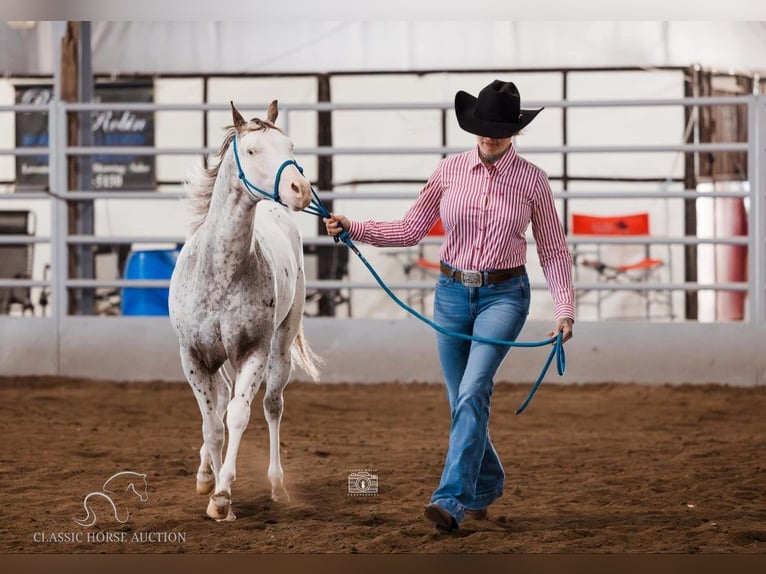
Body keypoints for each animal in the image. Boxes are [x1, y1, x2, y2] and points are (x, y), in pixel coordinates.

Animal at [170, 101, 322, 524]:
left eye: (290, 145)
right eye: (252, 150)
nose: (300, 189)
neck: (221, 272)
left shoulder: (253, 350)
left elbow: (237, 416)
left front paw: (223, 496)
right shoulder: (194, 357)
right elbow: (212, 424)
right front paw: (211, 483)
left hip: (279, 345)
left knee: (270, 405)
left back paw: (276, 485)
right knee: (221, 402)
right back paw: (206, 472)